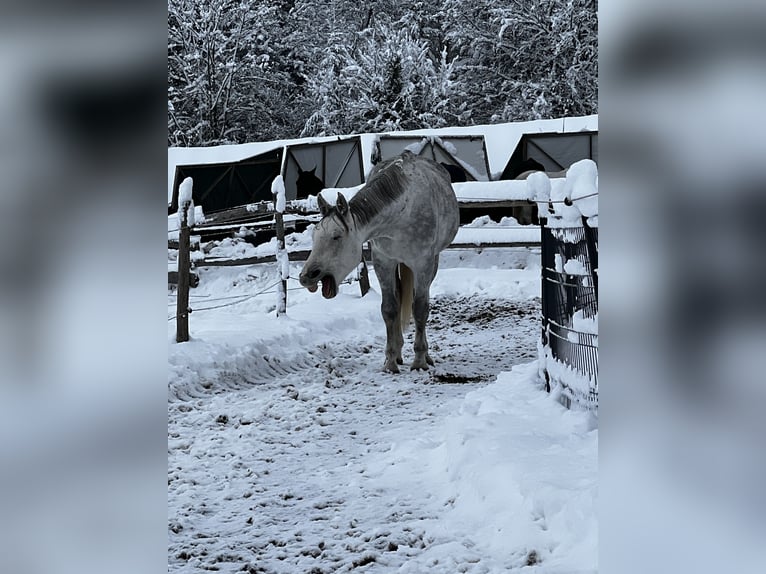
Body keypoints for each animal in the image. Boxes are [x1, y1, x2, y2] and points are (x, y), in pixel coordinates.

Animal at [300, 151, 460, 374]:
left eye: (336, 236)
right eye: (315, 237)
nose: (306, 276)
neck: (403, 211)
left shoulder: (423, 263)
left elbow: (420, 309)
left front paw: (419, 360)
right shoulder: (383, 262)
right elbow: (389, 309)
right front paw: (390, 361)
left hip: (431, 264)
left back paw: (426, 357)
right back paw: (400, 353)